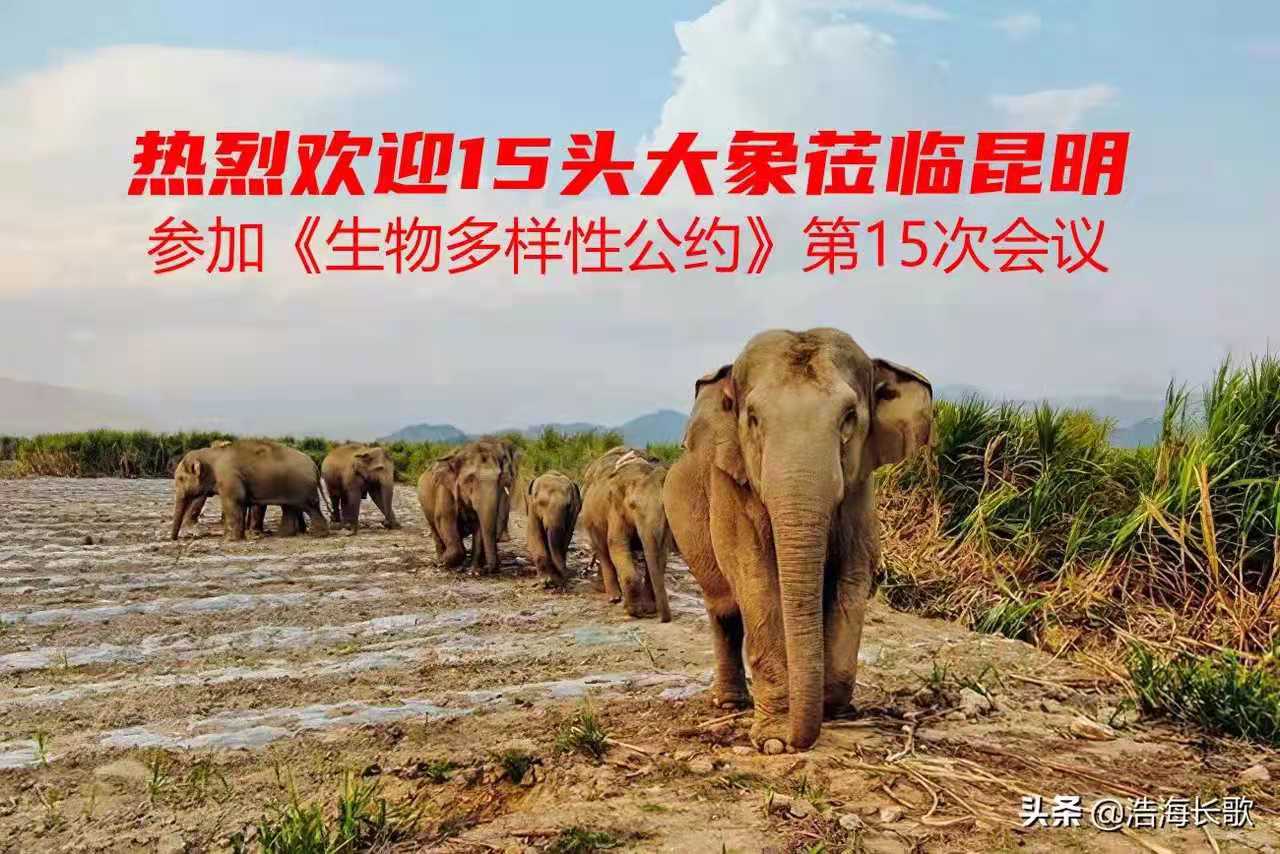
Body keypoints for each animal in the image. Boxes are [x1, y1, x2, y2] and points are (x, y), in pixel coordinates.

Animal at [171, 439, 330, 541]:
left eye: (180, 479)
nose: (174, 539)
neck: (211, 454)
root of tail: (314, 465)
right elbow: (240, 503)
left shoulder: (228, 476)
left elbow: (234, 501)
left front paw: (229, 540)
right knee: (289, 507)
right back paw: (283, 535)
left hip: (303, 487)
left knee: (310, 507)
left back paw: (319, 535)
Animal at [417, 440, 514, 573]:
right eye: (470, 479)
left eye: (499, 478)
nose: (488, 569)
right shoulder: (445, 489)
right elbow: (445, 519)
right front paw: (443, 563)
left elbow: (479, 524)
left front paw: (474, 570)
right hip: (426, 509)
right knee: (436, 530)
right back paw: (441, 559)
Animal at [580, 447, 673, 622]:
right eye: (632, 505)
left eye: (664, 505)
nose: (665, 619)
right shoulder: (615, 511)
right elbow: (617, 545)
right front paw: (635, 611)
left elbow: (662, 552)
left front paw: (649, 609)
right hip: (590, 521)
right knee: (603, 552)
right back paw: (614, 597)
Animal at [662, 328, 933, 754]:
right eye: (753, 419)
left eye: (849, 417)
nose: (796, 740)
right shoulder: (732, 489)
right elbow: (755, 581)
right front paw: (774, 740)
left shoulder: (860, 494)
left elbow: (852, 578)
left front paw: (831, 708)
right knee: (724, 607)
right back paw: (730, 703)